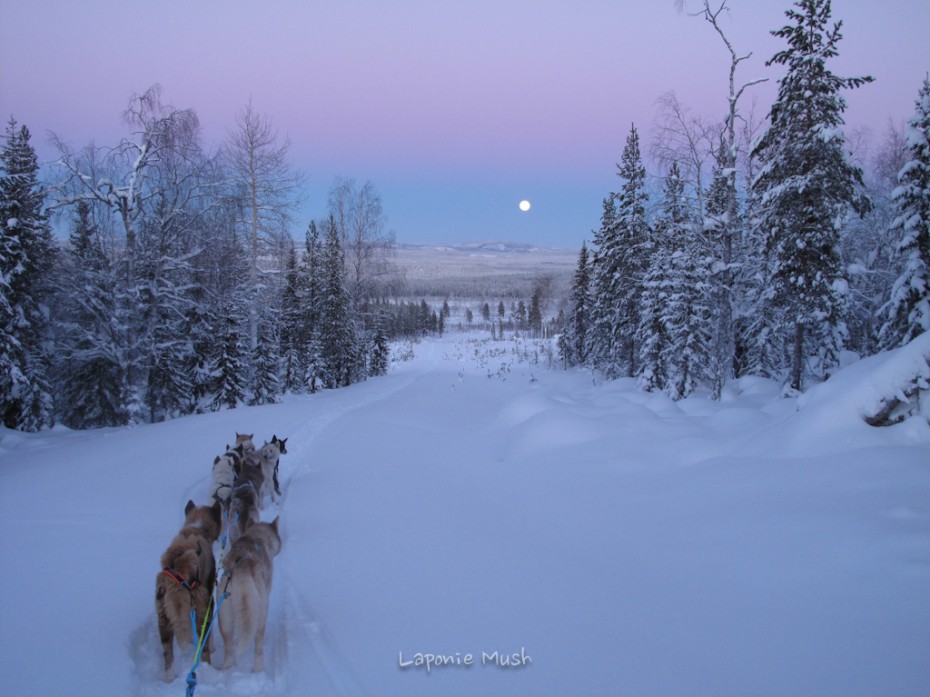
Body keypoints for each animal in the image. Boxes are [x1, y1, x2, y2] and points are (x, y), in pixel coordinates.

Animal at [156, 500, 223, 680]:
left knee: (168, 654)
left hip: (163, 617)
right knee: (204, 647)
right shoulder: (208, 601)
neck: (196, 529)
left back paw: (169, 676)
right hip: (201, 606)